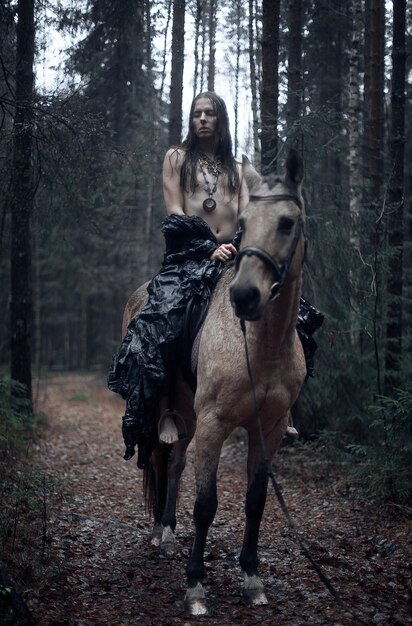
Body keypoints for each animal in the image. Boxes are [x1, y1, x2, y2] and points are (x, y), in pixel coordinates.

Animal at [121, 150, 306, 616]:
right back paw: (162, 534)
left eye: (287, 223)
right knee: (162, 459)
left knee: (174, 464)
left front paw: (252, 579)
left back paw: (168, 530)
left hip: (188, 414)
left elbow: (256, 502)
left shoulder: (268, 429)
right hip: (174, 413)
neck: (258, 347)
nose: (245, 297)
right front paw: (195, 587)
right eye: (244, 224)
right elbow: (206, 505)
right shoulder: (214, 423)